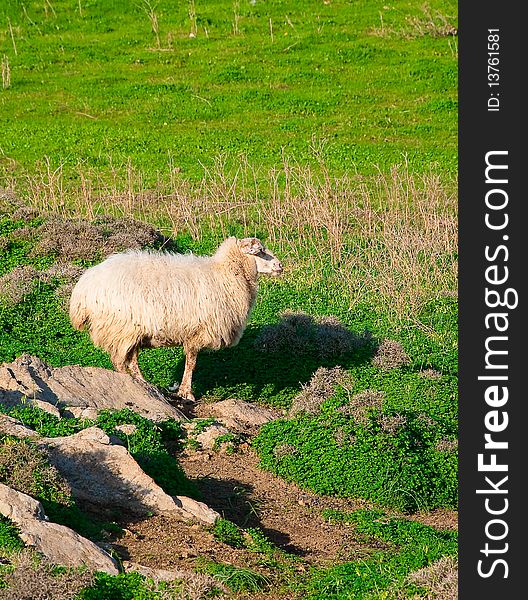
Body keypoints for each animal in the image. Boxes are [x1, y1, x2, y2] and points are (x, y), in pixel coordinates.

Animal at [70, 237, 284, 400]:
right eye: (261, 251)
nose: (280, 265)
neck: (227, 274)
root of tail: (83, 287)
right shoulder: (197, 332)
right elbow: (191, 363)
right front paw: (186, 393)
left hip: (131, 331)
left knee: (130, 361)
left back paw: (144, 384)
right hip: (121, 328)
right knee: (120, 362)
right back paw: (133, 384)